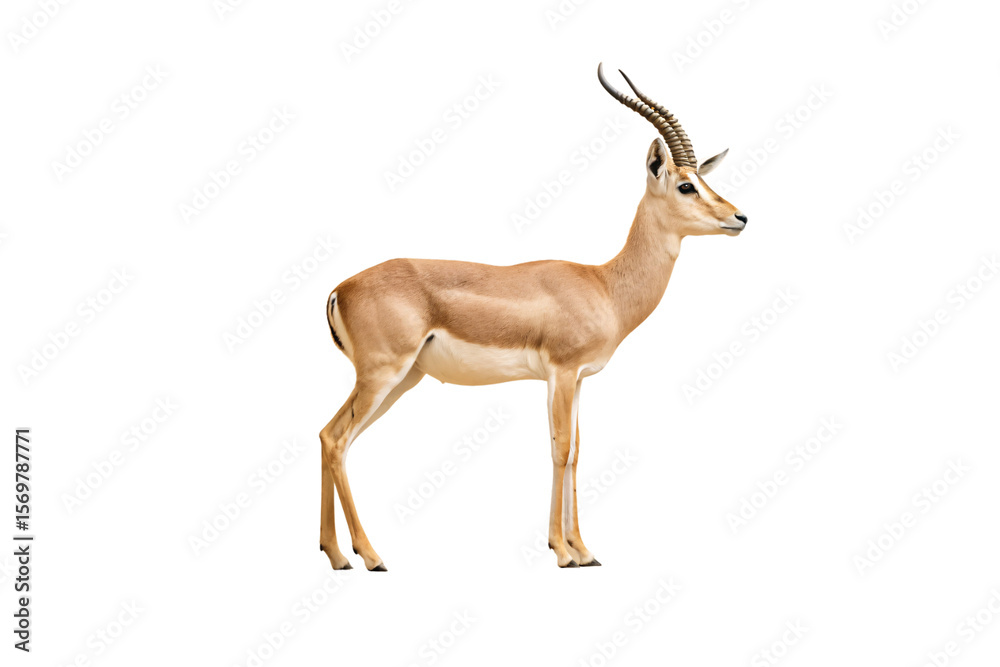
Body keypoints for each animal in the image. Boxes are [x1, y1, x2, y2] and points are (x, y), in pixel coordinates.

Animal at [319, 64, 748, 570]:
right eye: (685, 185)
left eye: (704, 181)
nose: (740, 217)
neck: (604, 285)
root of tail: (341, 288)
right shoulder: (560, 372)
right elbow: (560, 449)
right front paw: (562, 552)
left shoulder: (578, 379)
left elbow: (578, 451)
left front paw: (584, 550)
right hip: (382, 375)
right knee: (338, 440)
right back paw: (370, 556)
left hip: (402, 379)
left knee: (330, 437)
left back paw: (336, 554)